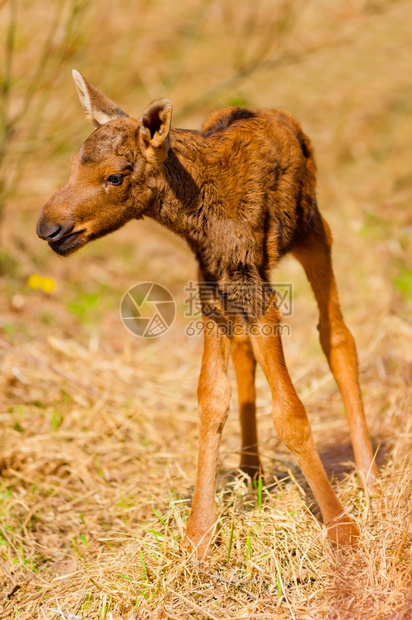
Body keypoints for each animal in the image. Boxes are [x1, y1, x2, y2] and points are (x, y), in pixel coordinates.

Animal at [37, 71, 378, 556]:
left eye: (116, 176)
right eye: (72, 165)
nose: (49, 228)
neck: (194, 216)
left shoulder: (257, 290)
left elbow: (291, 413)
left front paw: (341, 528)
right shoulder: (212, 290)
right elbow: (211, 399)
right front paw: (198, 534)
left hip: (314, 230)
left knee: (338, 336)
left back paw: (371, 478)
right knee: (246, 356)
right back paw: (251, 469)